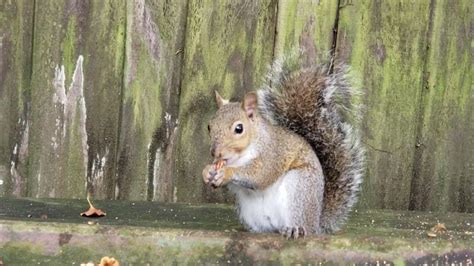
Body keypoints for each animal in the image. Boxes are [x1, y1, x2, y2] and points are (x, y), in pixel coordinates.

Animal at [202, 53, 364, 238]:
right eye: (209, 126)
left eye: (239, 128)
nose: (216, 152)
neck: (240, 156)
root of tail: (316, 223)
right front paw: (207, 171)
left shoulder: (273, 153)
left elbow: (261, 175)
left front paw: (227, 173)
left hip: (298, 190)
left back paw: (295, 229)